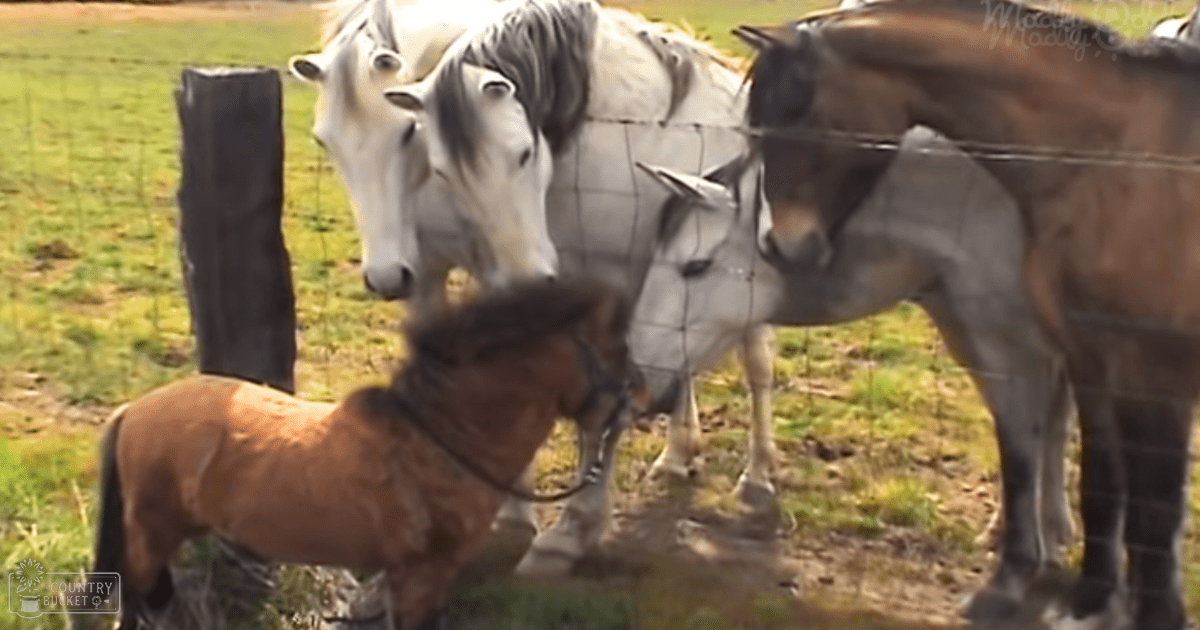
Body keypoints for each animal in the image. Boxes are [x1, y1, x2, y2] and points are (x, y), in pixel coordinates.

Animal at [88, 279, 640, 630]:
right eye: (615, 351)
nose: (637, 402)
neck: (438, 438)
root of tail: (132, 413)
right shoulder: (420, 576)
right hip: (150, 539)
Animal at [288, 0, 776, 579]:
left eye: (409, 134)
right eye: (326, 142)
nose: (386, 275)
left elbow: (606, 406)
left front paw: (569, 533)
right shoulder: (464, 270)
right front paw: (509, 514)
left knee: (756, 367)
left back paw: (758, 480)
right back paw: (678, 454)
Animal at [740, 1, 1200, 627]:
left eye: (799, 110)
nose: (780, 247)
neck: (1116, 159)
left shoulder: (1153, 377)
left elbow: (1154, 517)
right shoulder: (1091, 363)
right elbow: (1102, 487)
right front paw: (1089, 604)